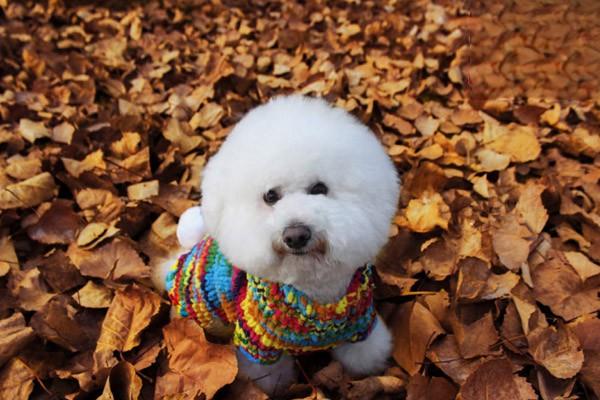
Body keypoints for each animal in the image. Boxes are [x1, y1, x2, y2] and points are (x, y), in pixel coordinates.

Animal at [155, 95, 398, 396]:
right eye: (270, 196)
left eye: (319, 189)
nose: (295, 235)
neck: (314, 291)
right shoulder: (258, 340)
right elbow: (268, 373)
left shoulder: (360, 323)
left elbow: (364, 352)